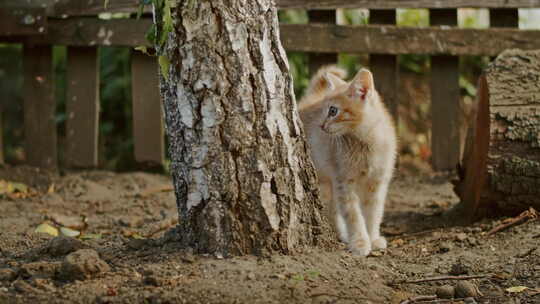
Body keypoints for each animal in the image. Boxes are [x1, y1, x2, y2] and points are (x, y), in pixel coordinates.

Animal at [300, 65, 396, 255]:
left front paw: (373, 238)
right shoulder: (344, 182)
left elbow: (374, 212)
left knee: (334, 209)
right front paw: (360, 242)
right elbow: (353, 215)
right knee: (333, 210)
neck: (365, 142)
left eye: (333, 111)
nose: (321, 125)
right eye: (322, 110)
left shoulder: (377, 183)